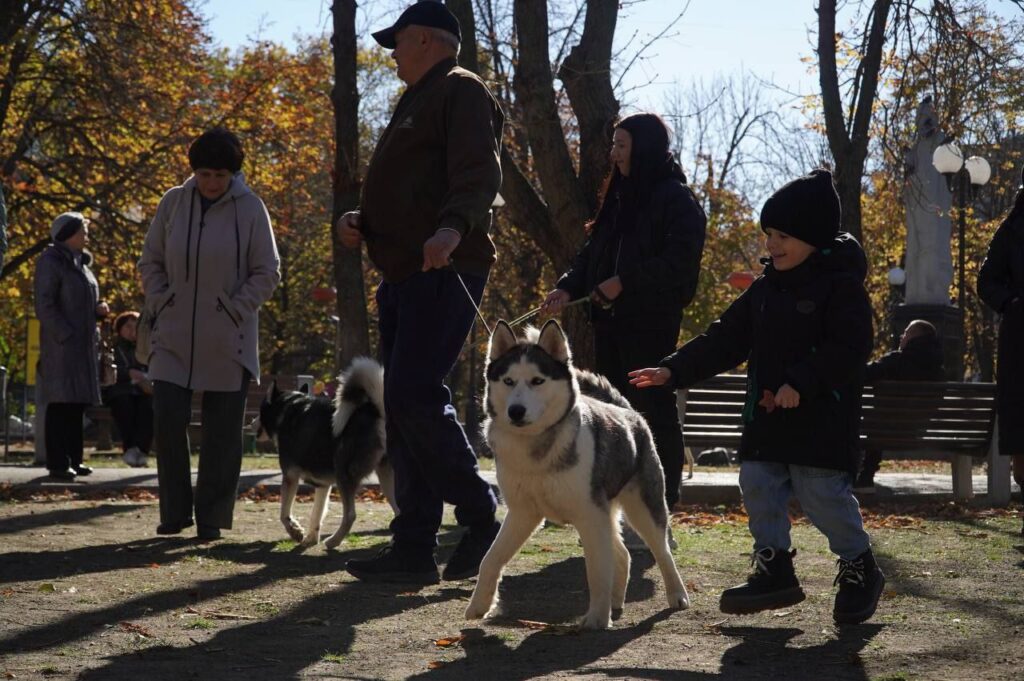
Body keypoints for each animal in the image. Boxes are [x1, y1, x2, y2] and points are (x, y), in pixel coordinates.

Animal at [254, 358, 395, 548]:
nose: (251, 422)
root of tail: (377, 411)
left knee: (350, 515)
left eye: (260, 410)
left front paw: (295, 531)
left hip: (344, 474)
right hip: (386, 477)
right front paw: (311, 539)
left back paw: (334, 541)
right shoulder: (322, 485)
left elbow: (284, 513)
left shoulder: (290, 476)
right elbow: (316, 515)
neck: (287, 408)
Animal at [468, 319, 692, 626]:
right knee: (622, 555)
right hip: (606, 512)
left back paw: (677, 595)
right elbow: (489, 559)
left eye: (537, 381)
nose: (516, 411)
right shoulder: (523, 513)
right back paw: (615, 601)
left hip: (643, 507)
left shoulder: (589, 515)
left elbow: (596, 570)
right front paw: (479, 605)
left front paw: (596, 618)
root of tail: (627, 411)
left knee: (662, 552)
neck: (537, 450)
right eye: (509, 381)